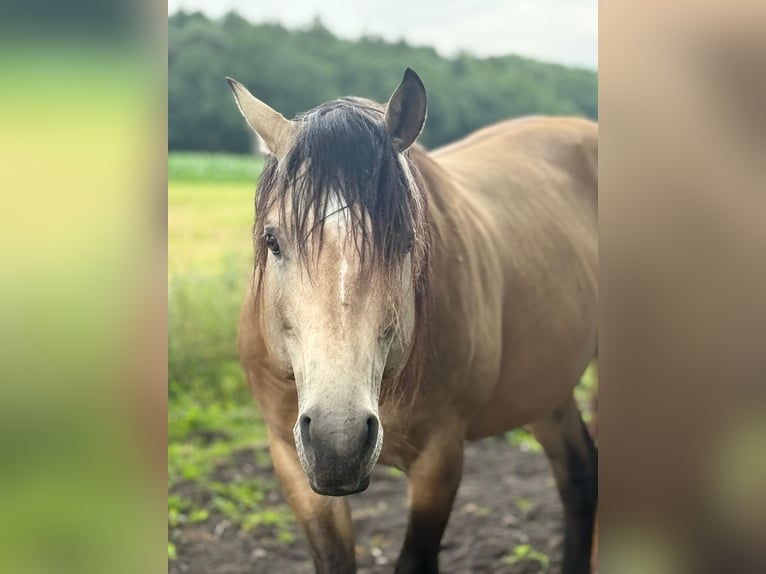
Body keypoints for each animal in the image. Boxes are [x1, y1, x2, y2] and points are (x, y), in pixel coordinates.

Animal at [228, 68, 598, 574]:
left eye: (404, 240)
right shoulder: (290, 456)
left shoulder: (440, 458)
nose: (338, 440)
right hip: (546, 388)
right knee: (578, 478)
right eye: (273, 240)